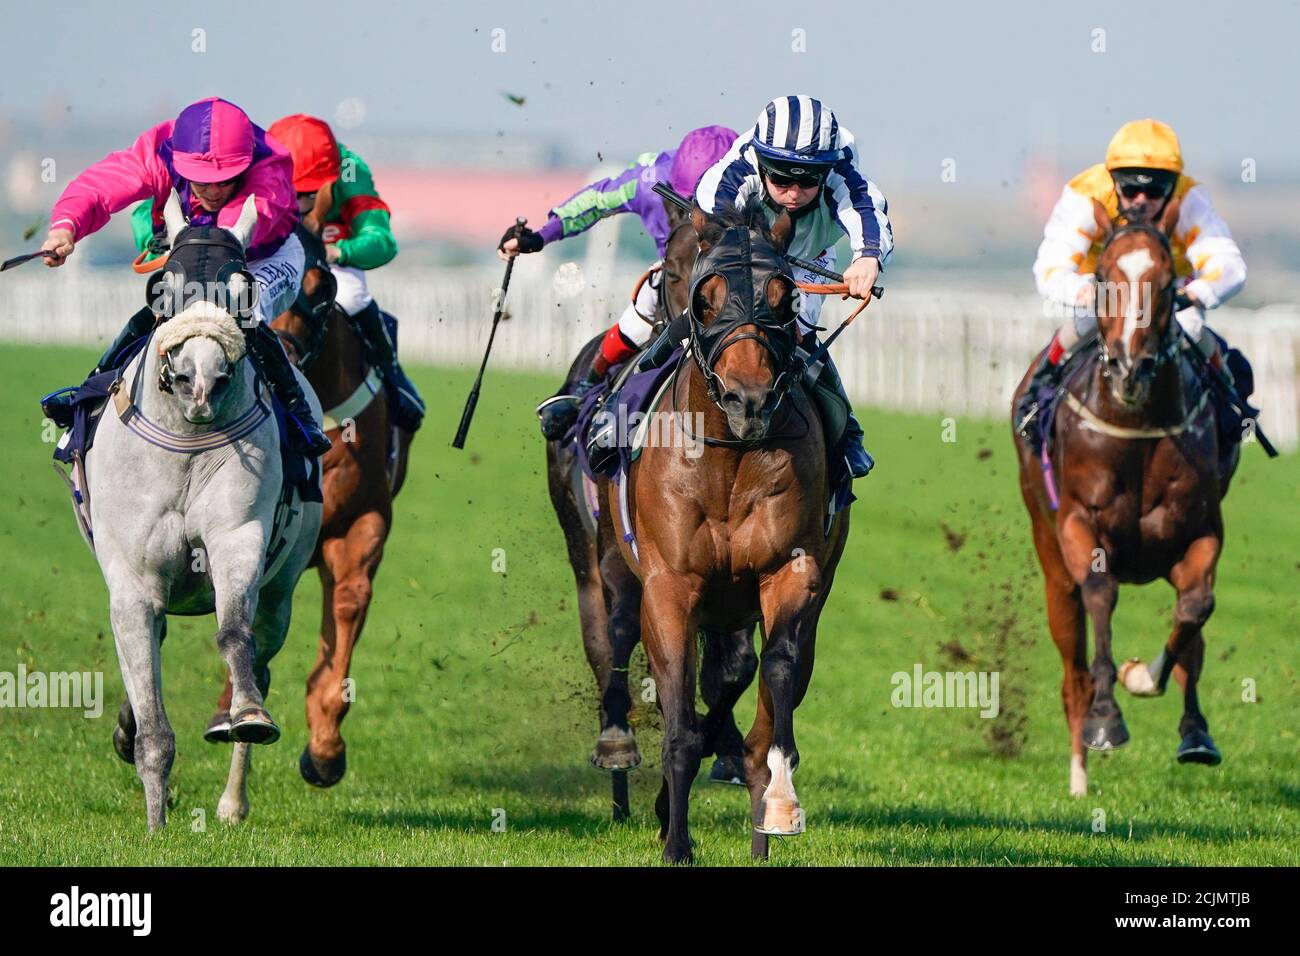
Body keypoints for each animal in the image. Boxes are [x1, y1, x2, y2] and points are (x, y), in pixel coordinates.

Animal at [546, 214, 759, 822]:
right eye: (671, 270)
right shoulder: (628, 555)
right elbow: (620, 635)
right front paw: (621, 745)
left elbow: (731, 669)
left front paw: (718, 749)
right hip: (586, 547)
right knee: (603, 635)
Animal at [611, 197, 852, 863]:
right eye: (705, 294)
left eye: (785, 296)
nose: (750, 400)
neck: (728, 458)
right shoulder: (670, 585)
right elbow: (679, 722)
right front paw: (676, 843)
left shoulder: (790, 572)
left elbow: (778, 672)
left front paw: (780, 804)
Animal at [1008, 197, 1232, 796]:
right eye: (1106, 275)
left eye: (1169, 281)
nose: (1133, 369)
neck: (1136, 424)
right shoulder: (1080, 525)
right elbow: (1101, 593)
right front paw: (1107, 720)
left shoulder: (1200, 532)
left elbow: (1195, 610)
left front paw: (1143, 679)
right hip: (1050, 561)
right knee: (1073, 669)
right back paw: (1079, 772)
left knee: (1192, 629)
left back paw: (1194, 733)